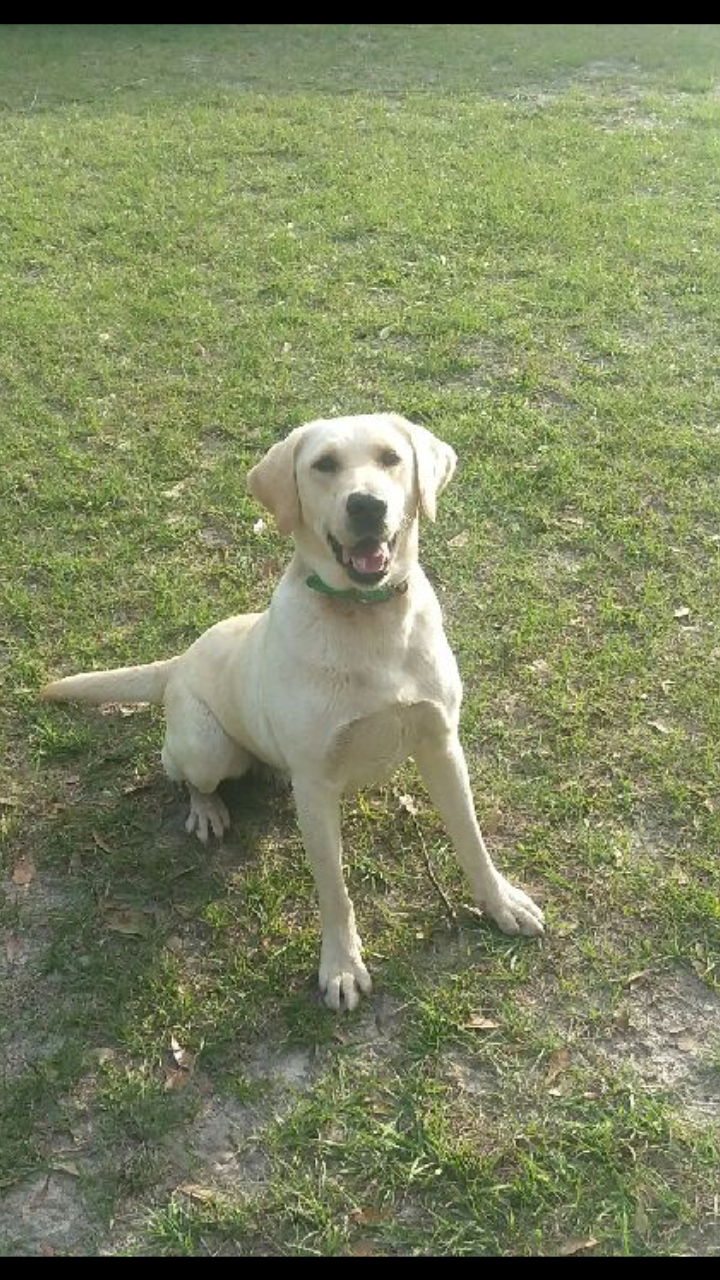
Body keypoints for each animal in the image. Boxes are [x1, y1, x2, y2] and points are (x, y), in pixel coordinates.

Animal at [41, 412, 540, 1008]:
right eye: (324, 464)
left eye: (391, 457)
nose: (367, 506)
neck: (368, 621)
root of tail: (179, 660)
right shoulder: (317, 786)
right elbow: (335, 889)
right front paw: (342, 965)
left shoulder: (441, 745)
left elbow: (471, 838)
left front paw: (500, 902)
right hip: (205, 747)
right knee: (183, 772)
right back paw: (206, 809)